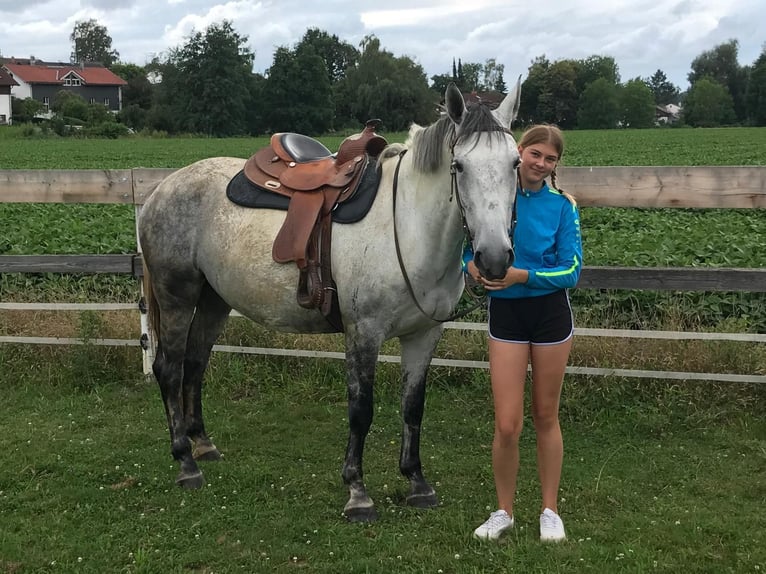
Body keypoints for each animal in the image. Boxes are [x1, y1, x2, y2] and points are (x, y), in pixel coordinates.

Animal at [140, 82, 520, 528]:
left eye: (515, 163)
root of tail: (162, 189)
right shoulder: (364, 333)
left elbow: (413, 407)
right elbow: (361, 409)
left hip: (214, 301)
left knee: (195, 364)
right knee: (169, 368)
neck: (408, 229)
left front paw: (416, 482)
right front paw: (357, 492)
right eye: (458, 166)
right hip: (177, 296)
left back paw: (203, 444)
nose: (493, 258)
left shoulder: (424, 334)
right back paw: (186, 462)